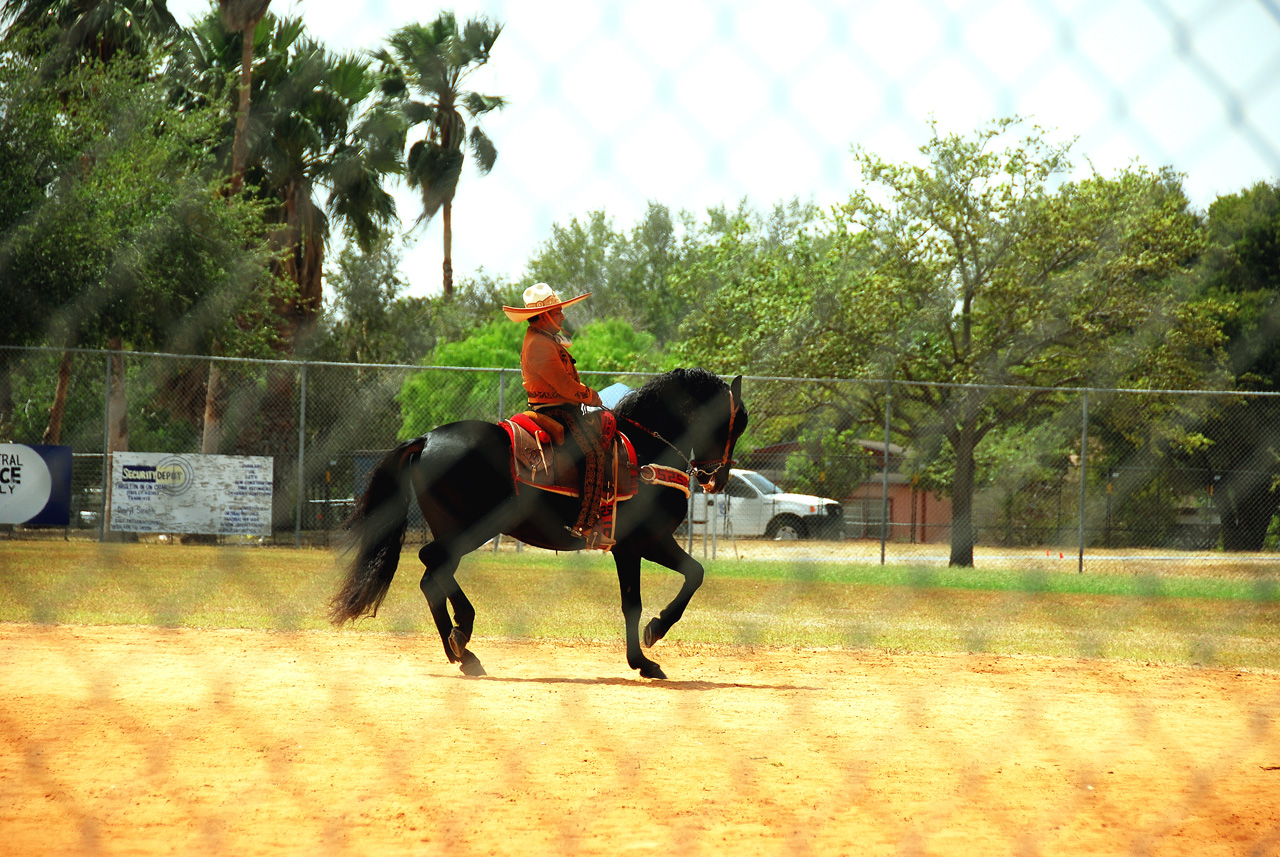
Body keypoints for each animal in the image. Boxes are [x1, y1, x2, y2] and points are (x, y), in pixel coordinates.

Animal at [330, 365, 747, 680]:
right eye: (736, 421)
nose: (717, 479)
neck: (645, 452)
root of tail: (426, 438)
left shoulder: (638, 546)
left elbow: (679, 581)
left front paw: (647, 648)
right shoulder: (641, 544)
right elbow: (657, 593)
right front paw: (649, 646)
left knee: (431, 576)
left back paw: (461, 653)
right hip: (472, 529)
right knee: (433, 566)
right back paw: (463, 631)